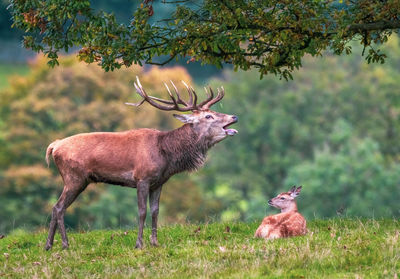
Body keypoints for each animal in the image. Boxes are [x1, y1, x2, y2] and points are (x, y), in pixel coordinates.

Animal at [43, 77, 238, 252]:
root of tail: (54, 146)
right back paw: (65, 245)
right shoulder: (142, 178)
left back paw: (48, 245)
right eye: (208, 116)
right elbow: (142, 211)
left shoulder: (158, 183)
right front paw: (139, 244)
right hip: (74, 177)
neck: (166, 155)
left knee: (56, 207)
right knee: (59, 207)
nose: (234, 116)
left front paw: (155, 242)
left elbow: (155, 211)